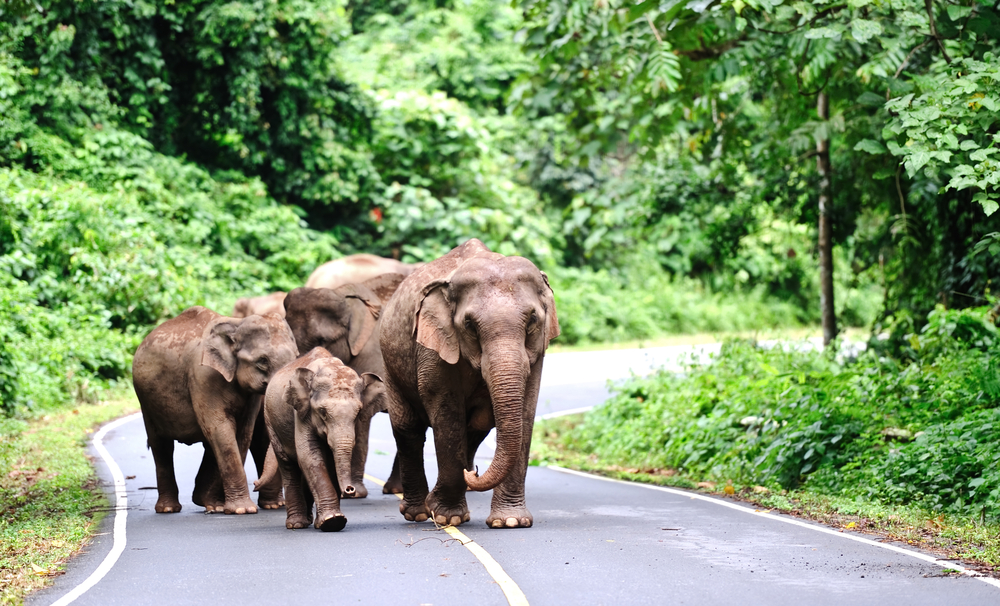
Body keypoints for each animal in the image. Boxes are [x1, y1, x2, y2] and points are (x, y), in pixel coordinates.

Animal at [132, 306, 296, 516]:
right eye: (262, 361)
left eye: (297, 356)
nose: (255, 483)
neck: (236, 324)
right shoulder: (203, 377)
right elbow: (220, 428)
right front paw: (242, 510)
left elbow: (242, 432)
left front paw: (224, 507)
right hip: (146, 402)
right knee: (161, 445)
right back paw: (169, 509)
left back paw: (210, 503)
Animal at [256, 346, 384, 532]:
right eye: (322, 412)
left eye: (358, 412)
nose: (350, 490)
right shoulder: (302, 412)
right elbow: (309, 456)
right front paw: (333, 521)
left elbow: (328, 461)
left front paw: (329, 522)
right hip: (270, 419)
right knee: (287, 465)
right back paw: (296, 524)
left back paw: (310, 521)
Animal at [378, 238, 560, 528]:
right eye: (469, 325)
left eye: (532, 320)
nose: (473, 472)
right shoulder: (433, 346)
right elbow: (446, 411)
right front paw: (447, 516)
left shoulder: (538, 352)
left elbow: (526, 410)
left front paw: (510, 522)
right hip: (390, 365)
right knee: (408, 429)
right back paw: (418, 513)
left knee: (476, 429)